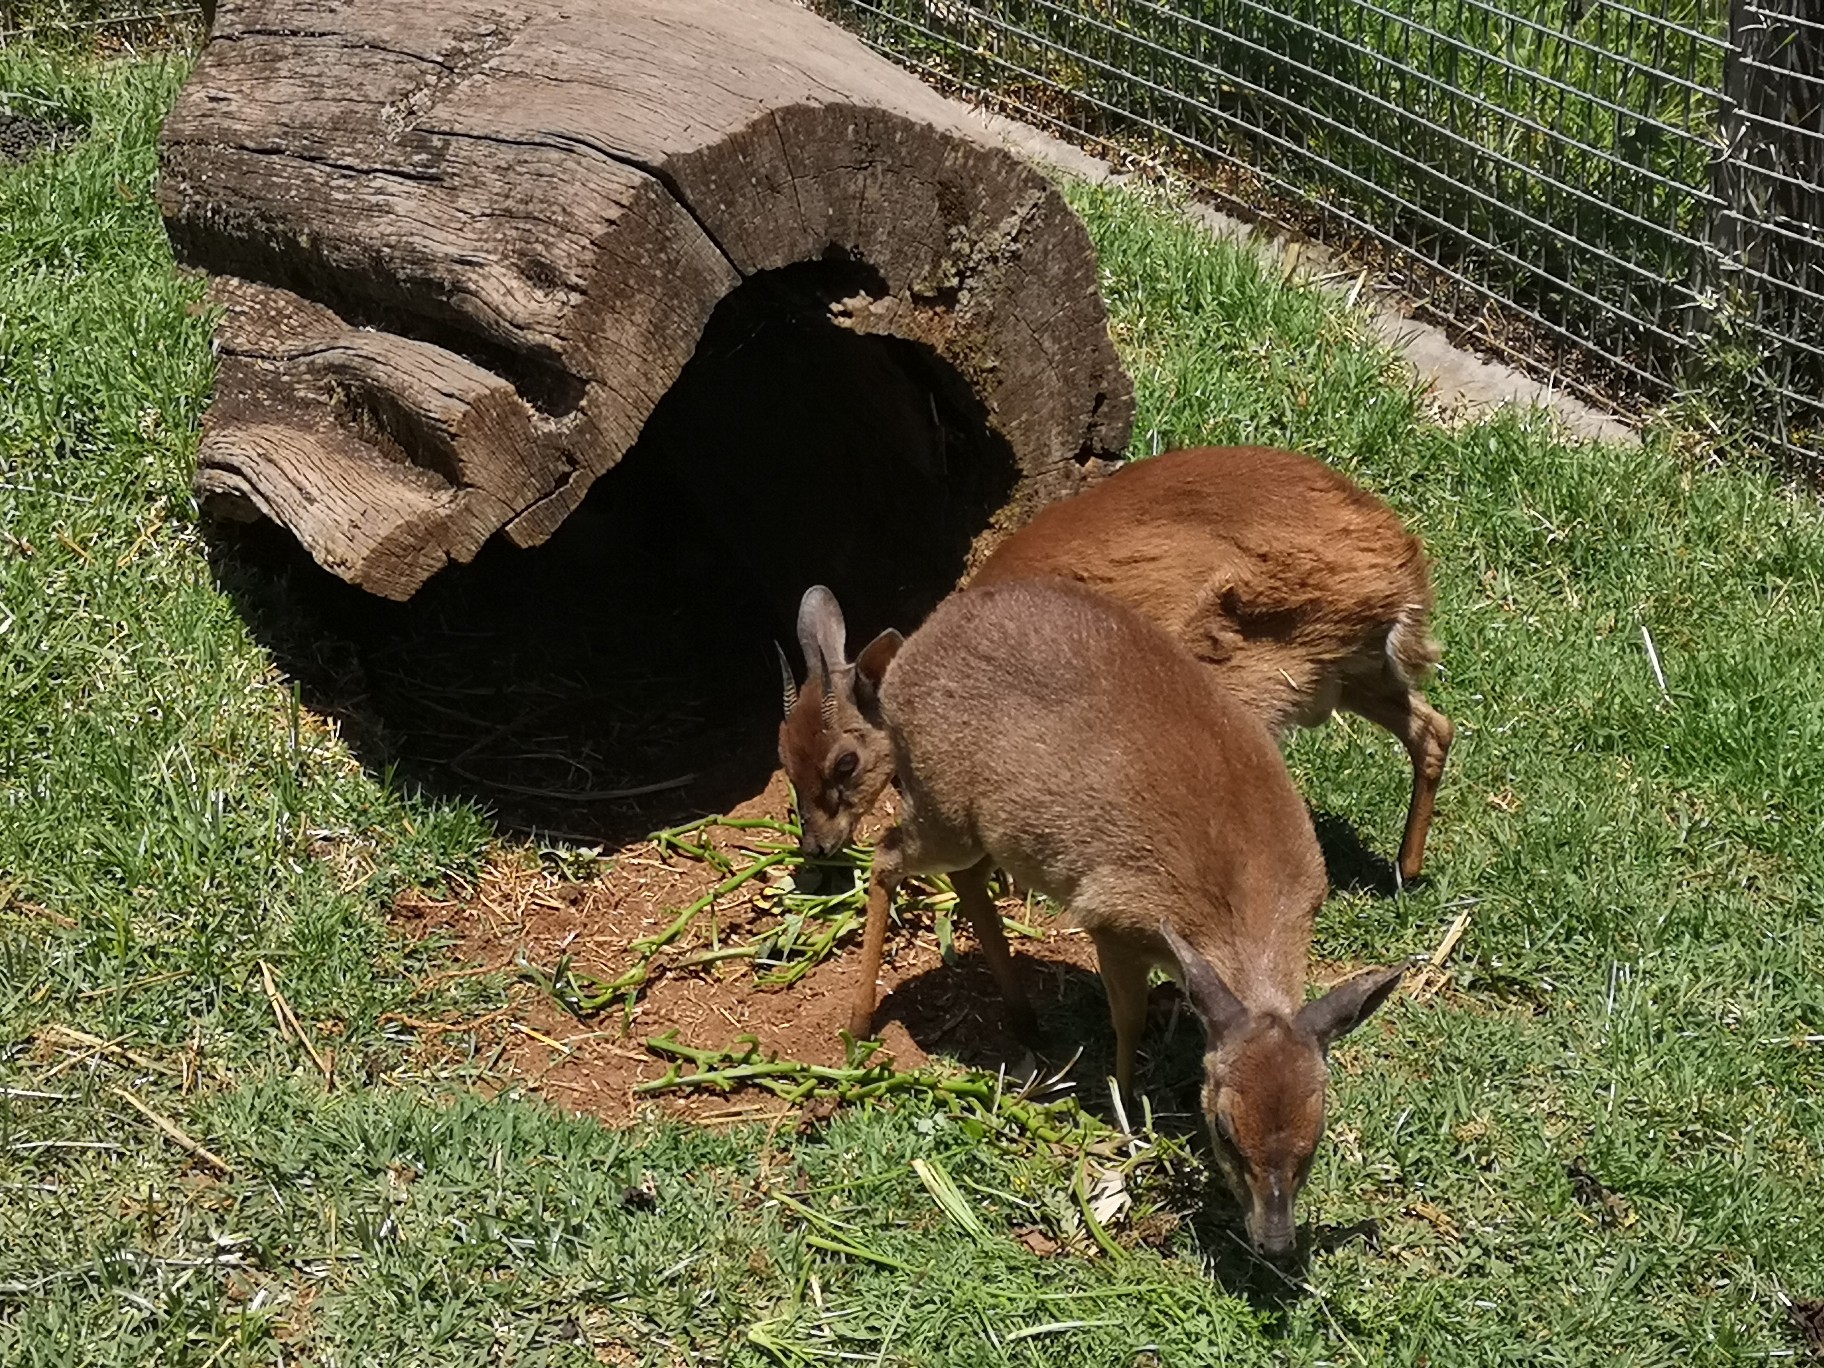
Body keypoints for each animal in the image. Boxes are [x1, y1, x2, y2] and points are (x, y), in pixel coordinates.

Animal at [780, 580, 1393, 1262]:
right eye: (1224, 1130)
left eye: (1316, 1136)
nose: (1275, 1240)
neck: (1243, 892)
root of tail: (915, 648)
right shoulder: (1114, 923)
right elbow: (1125, 1023)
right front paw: (1126, 1116)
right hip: (942, 814)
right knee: (886, 859)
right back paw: (859, 1026)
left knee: (960, 878)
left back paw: (1026, 1022)